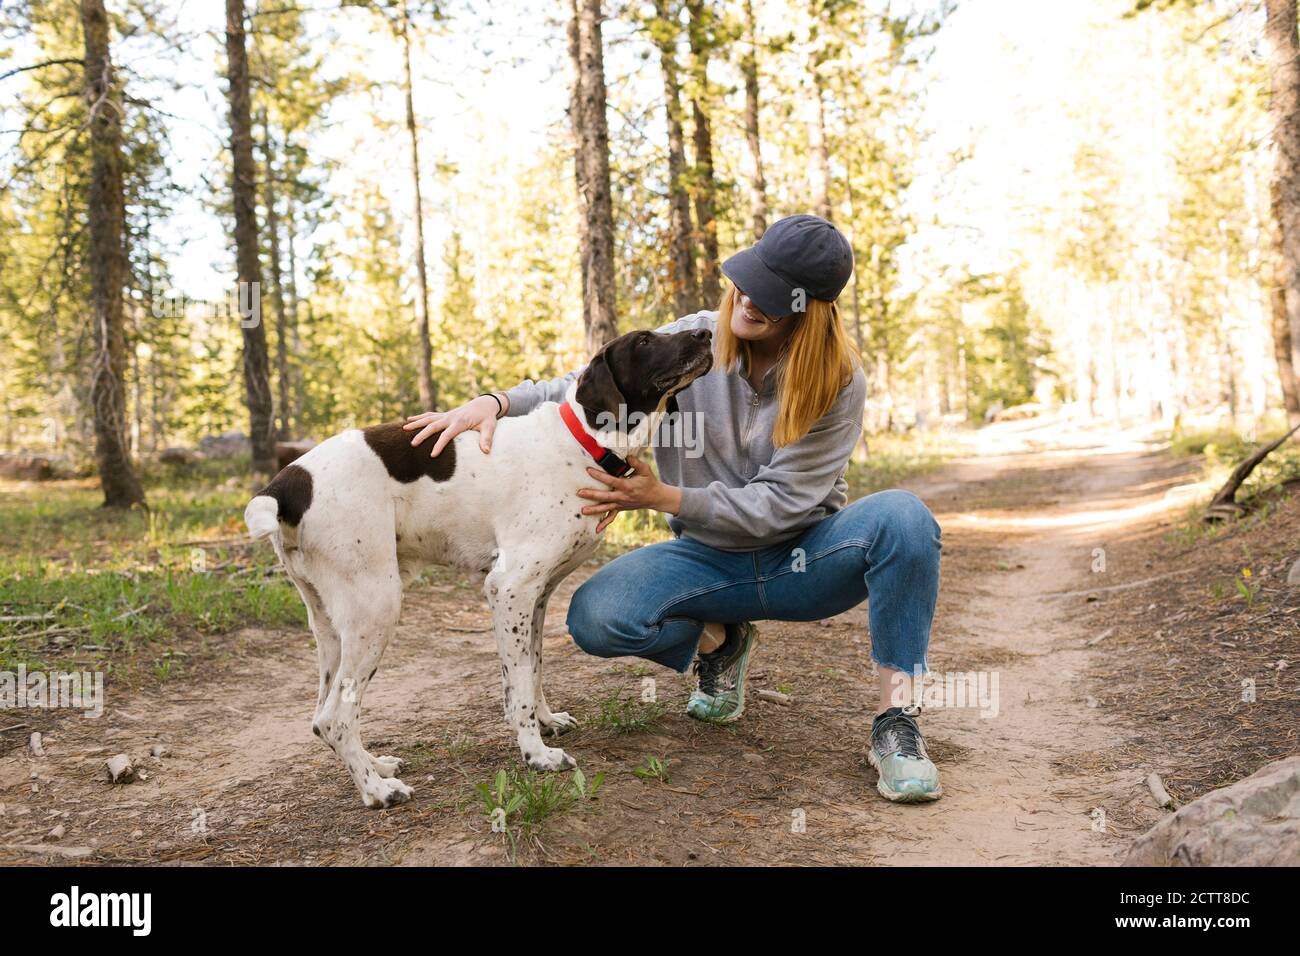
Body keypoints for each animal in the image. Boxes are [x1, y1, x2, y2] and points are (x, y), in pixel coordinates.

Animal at [243, 329, 712, 806]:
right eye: (644, 342)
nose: (705, 332)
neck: (584, 442)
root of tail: (286, 483)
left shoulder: (537, 596)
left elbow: (533, 672)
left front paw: (545, 723)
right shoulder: (510, 588)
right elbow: (520, 687)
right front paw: (536, 755)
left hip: (330, 622)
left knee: (322, 717)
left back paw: (376, 766)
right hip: (375, 608)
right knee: (336, 717)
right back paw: (377, 790)